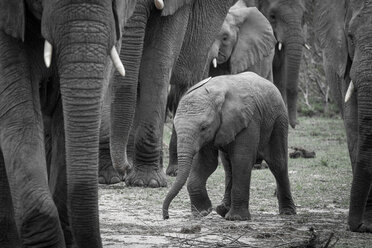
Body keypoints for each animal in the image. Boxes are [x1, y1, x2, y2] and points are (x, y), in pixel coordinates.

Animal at [163, 72, 296, 221]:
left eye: (204, 127)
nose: (166, 216)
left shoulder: (249, 120)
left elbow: (241, 160)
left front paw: (236, 218)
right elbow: (206, 162)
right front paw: (202, 213)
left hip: (279, 120)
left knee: (277, 164)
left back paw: (287, 212)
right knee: (228, 166)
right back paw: (222, 210)